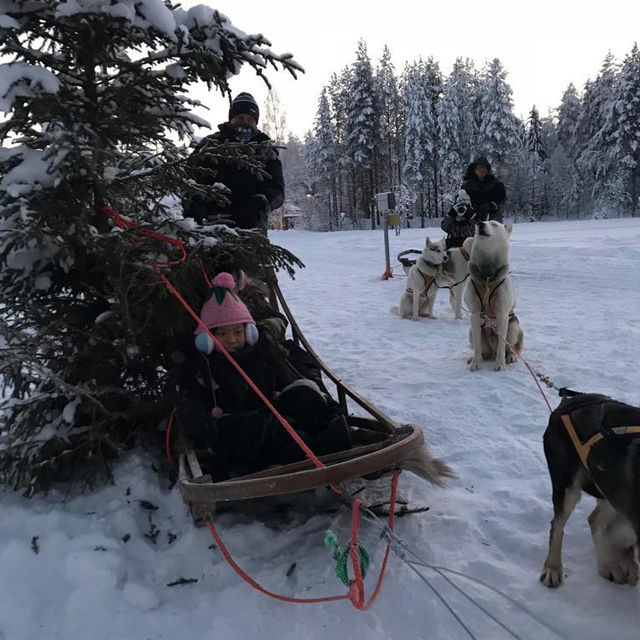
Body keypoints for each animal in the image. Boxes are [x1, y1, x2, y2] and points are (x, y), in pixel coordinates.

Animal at [464, 220, 524, 370]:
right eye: (480, 221)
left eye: (494, 224)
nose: (480, 223)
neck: (486, 276)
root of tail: (491, 350)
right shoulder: (475, 314)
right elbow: (477, 347)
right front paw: (475, 362)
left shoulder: (502, 315)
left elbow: (502, 347)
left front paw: (500, 364)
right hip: (471, 332)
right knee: (481, 348)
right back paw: (477, 357)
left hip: (513, 327)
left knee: (510, 348)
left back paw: (510, 356)